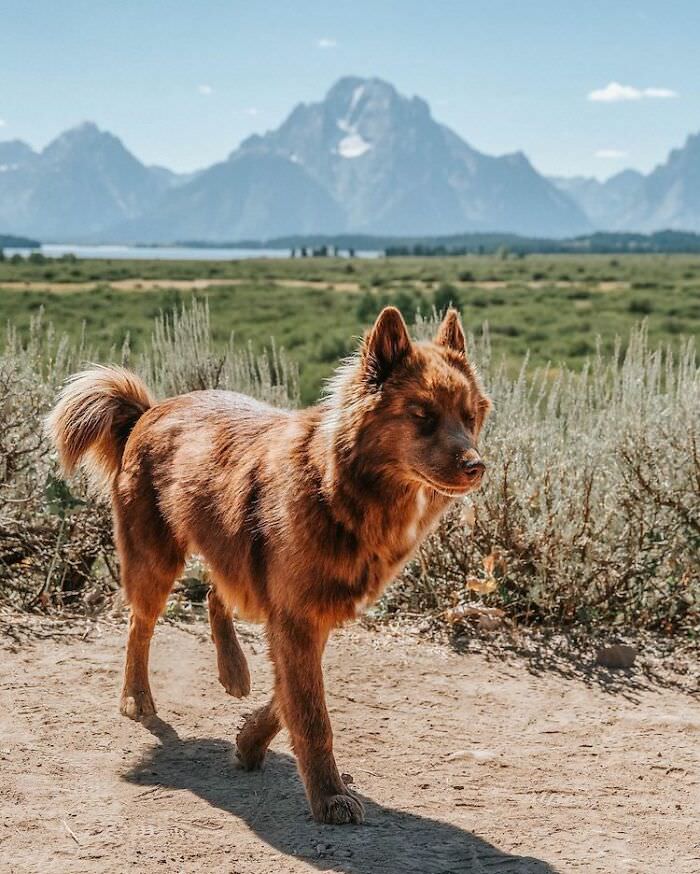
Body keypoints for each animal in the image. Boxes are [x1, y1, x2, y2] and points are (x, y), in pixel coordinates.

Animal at [47, 308, 492, 824]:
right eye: (422, 415)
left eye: (469, 416)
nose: (476, 467)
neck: (337, 490)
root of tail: (147, 412)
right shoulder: (297, 617)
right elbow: (312, 713)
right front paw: (329, 795)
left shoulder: (309, 614)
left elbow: (289, 696)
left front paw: (249, 741)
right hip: (155, 559)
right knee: (141, 625)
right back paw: (136, 697)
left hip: (231, 553)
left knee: (216, 594)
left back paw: (233, 670)